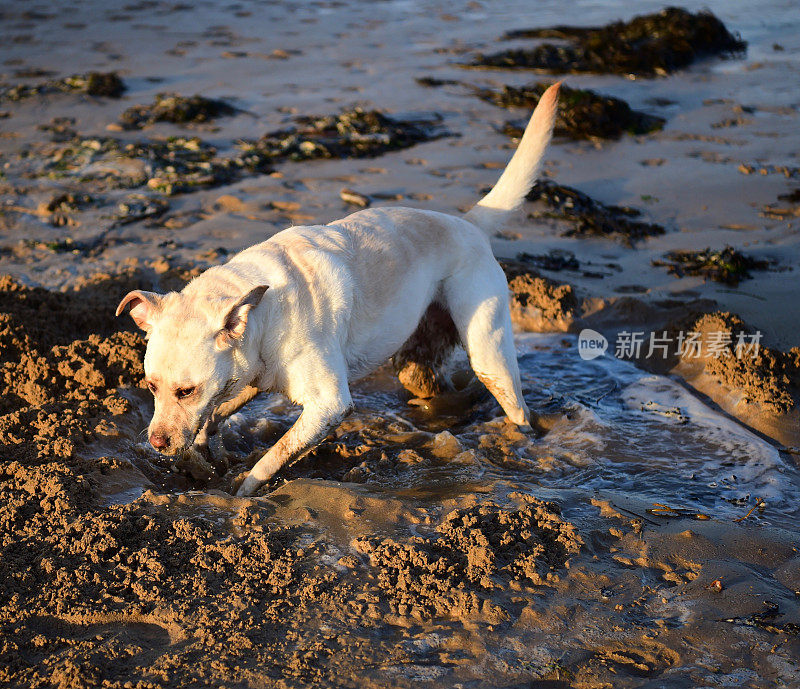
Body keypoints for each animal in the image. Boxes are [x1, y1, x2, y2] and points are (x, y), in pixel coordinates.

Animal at [115, 83, 560, 494]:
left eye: (186, 391)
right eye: (151, 386)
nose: (156, 443)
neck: (264, 310)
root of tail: (469, 223)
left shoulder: (329, 405)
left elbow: (274, 453)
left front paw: (242, 489)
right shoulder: (251, 377)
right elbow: (218, 412)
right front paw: (209, 455)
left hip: (489, 352)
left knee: (516, 407)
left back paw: (523, 442)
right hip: (418, 359)